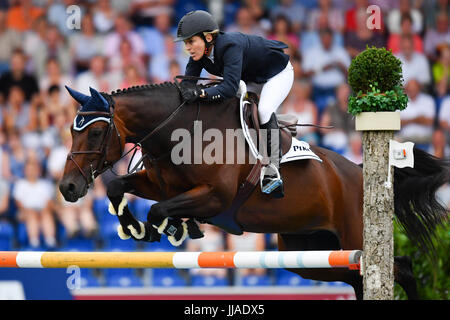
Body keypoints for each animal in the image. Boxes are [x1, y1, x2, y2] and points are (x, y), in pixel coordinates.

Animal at [59, 83, 446, 300]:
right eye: (72, 130)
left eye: (96, 133)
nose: (67, 187)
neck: (179, 132)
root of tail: (361, 173)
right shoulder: (161, 185)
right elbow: (117, 185)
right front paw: (135, 227)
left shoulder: (214, 197)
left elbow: (159, 210)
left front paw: (170, 228)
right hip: (310, 255)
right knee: (358, 279)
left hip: (355, 241)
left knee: (401, 269)